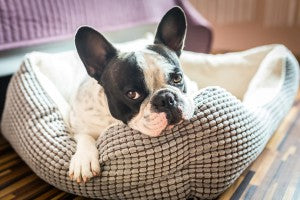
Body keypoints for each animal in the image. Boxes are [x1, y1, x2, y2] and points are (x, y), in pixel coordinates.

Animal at [69, 7, 198, 183]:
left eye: (177, 78)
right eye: (132, 94)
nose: (166, 99)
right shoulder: (75, 121)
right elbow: (84, 135)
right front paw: (84, 159)